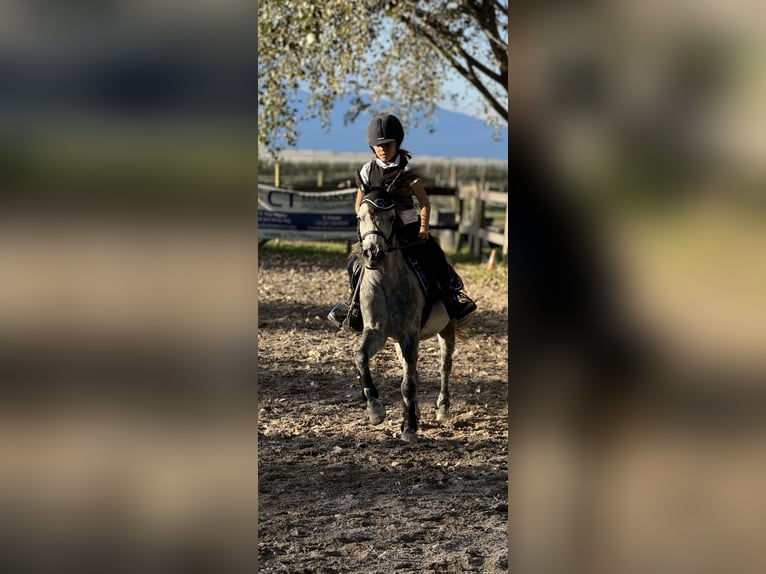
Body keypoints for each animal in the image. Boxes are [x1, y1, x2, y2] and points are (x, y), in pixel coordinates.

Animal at [352, 195, 472, 446]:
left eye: (391, 218)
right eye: (360, 217)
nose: (373, 254)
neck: (385, 279)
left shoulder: (409, 334)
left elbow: (407, 384)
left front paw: (408, 428)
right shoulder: (376, 331)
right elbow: (361, 357)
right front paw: (375, 410)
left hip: (446, 329)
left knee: (444, 367)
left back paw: (442, 408)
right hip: (400, 342)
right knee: (413, 371)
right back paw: (415, 412)